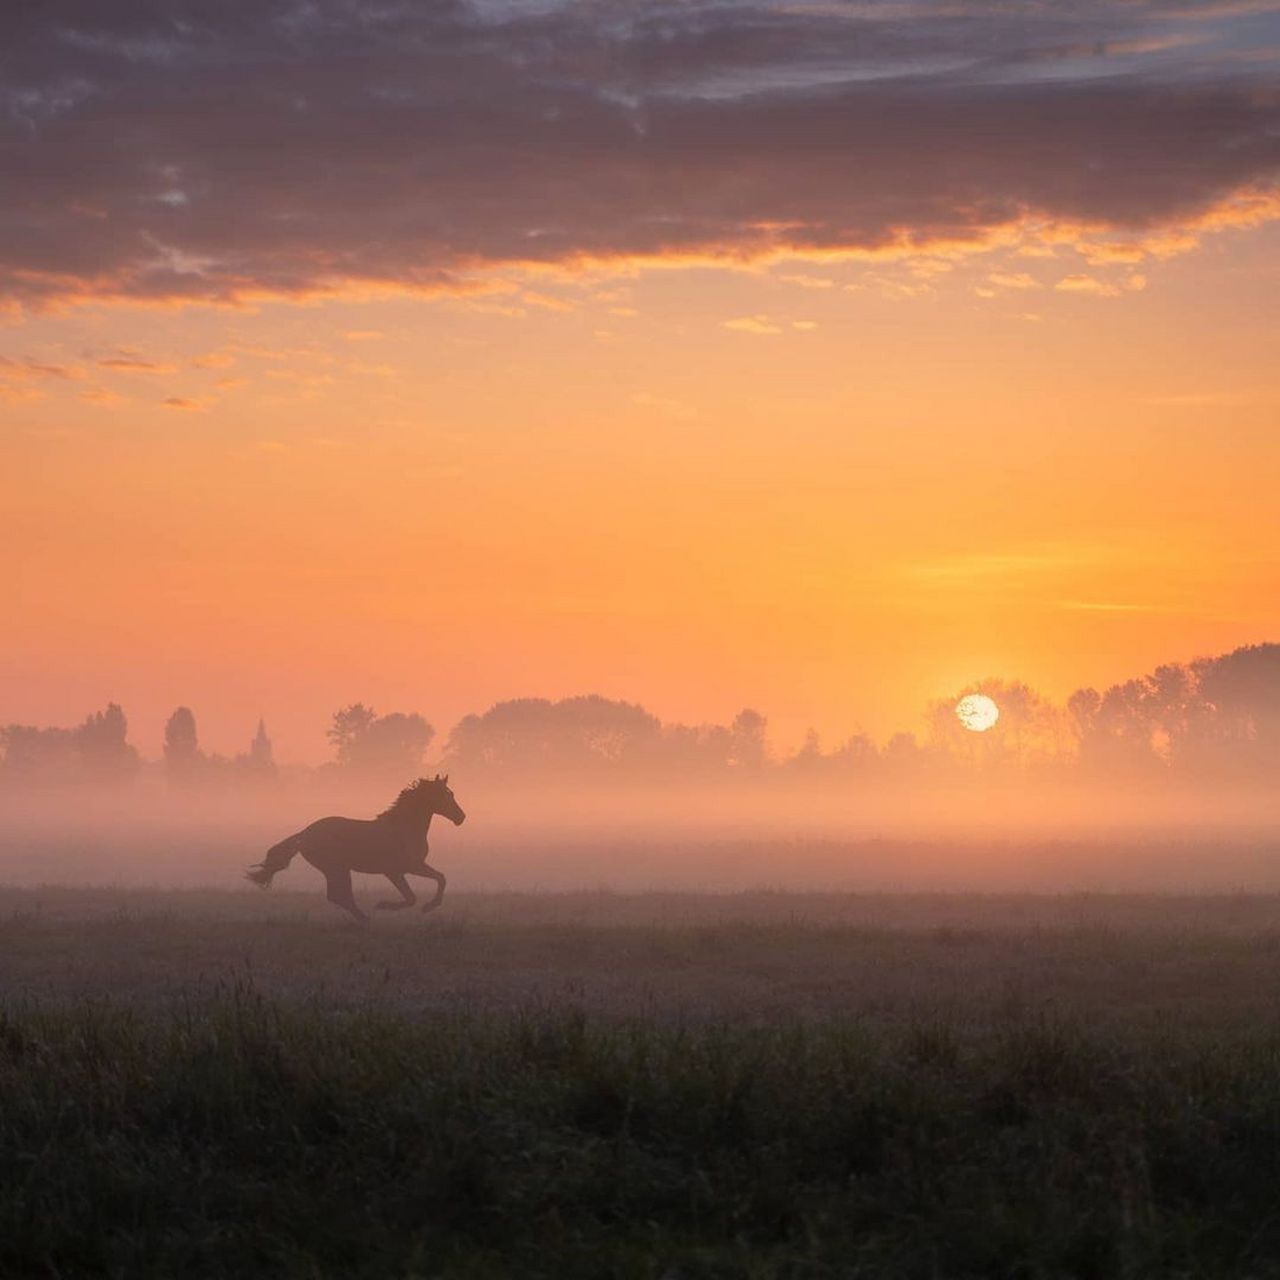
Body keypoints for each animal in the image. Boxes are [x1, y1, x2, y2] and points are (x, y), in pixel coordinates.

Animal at [244, 768, 465, 921]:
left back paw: (362, 917)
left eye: (451, 794)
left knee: (337, 895)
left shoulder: (413, 866)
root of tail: (304, 834)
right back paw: (365, 917)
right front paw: (385, 905)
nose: (461, 817)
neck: (403, 828)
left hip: (337, 870)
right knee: (338, 895)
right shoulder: (397, 870)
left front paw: (429, 906)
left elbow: (440, 878)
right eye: (445, 795)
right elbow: (413, 896)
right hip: (336, 868)